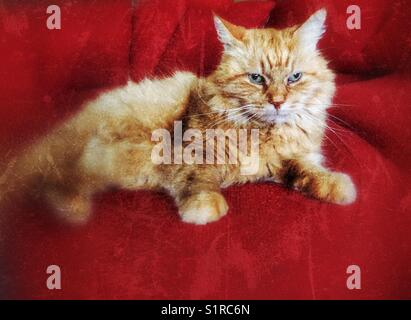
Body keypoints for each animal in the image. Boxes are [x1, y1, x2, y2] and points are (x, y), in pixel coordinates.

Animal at [0, 9, 358, 225]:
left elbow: (308, 172)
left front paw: (338, 186)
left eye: (295, 77)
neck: (261, 132)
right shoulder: (187, 151)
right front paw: (205, 209)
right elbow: (198, 179)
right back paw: (72, 210)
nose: (279, 103)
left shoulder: (286, 160)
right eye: (256, 79)